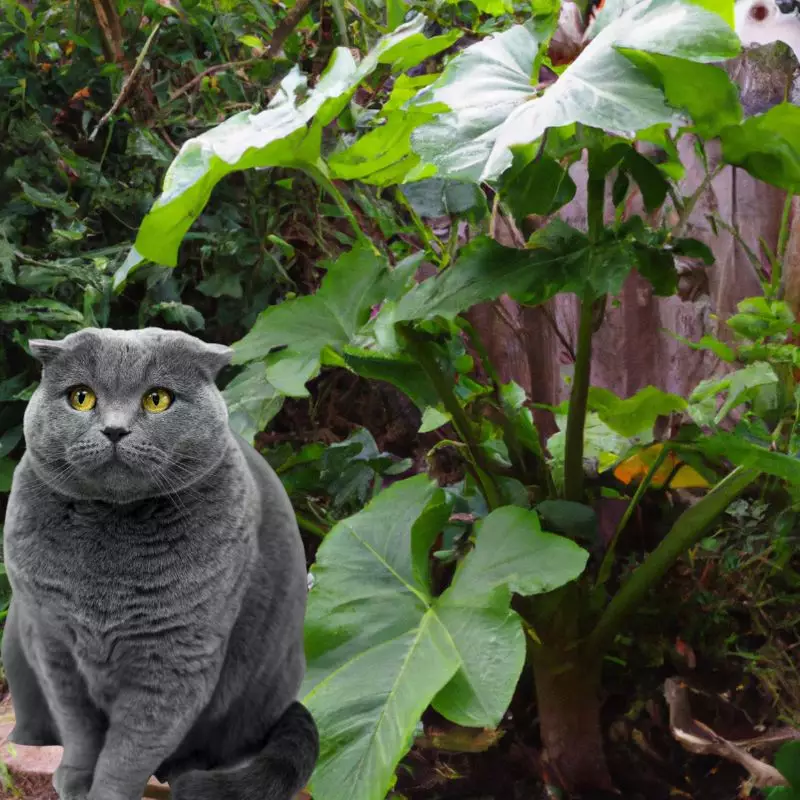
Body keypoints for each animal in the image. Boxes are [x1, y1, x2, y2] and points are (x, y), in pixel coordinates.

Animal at [0, 326, 318, 800]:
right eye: (81, 397)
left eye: (157, 399)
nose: (115, 429)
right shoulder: (53, 644)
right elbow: (78, 728)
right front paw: (75, 777)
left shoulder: (175, 658)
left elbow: (130, 750)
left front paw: (104, 793)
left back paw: (185, 773)